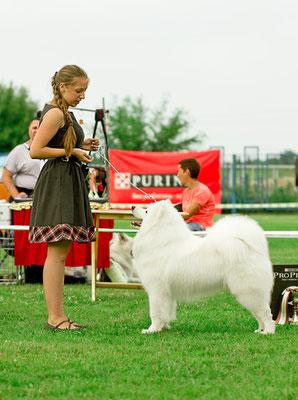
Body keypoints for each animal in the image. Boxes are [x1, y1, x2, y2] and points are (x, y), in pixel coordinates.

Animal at [132, 200, 276, 334]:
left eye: (146, 211)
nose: (132, 206)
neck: (161, 239)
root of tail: (251, 247)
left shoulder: (157, 289)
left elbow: (155, 312)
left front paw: (151, 330)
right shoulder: (167, 293)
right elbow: (166, 312)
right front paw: (163, 327)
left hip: (247, 290)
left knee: (266, 313)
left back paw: (268, 332)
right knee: (259, 315)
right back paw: (260, 330)